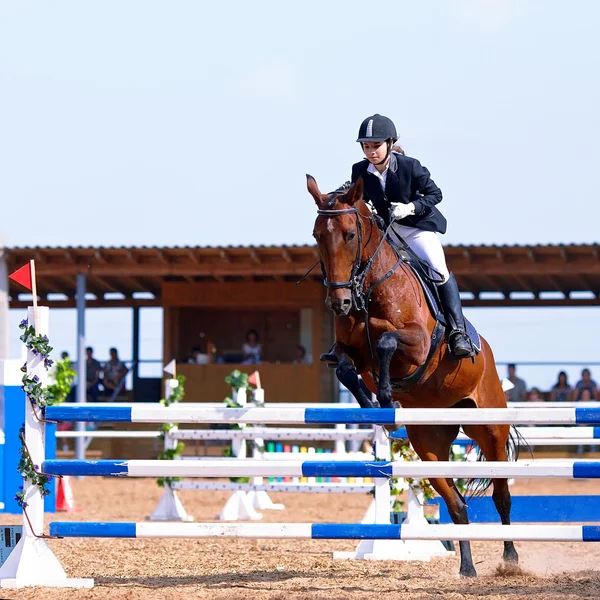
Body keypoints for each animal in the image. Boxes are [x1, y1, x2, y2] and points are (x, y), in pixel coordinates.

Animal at [308, 176, 516, 580]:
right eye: (316, 235)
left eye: (350, 235)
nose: (339, 304)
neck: (368, 287)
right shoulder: (348, 351)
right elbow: (345, 368)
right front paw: (375, 407)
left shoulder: (417, 343)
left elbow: (387, 342)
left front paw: (388, 397)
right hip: (428, 443)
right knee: (457, 505)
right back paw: (467, 568)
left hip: (490, 428)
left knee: (501, 495)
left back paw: (512, 559)